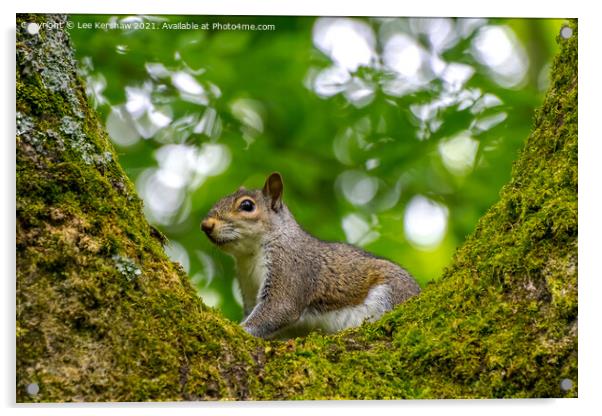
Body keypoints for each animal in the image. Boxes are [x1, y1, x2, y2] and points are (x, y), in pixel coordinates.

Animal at [200, 172, 418, 338]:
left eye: (247, 206)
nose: (205, 225)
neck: (250, 255)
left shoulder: (291, 267)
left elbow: (279, 308)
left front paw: (239, 329)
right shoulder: (248, 288)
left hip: (392, 291)